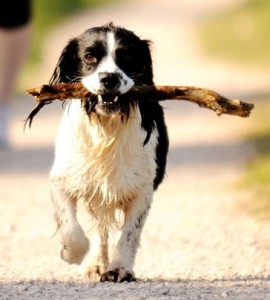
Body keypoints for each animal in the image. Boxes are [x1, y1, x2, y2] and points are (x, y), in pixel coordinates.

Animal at [49, 22, 169, 282]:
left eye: (128, 57)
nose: (109, 78)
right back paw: (95, 263)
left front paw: (120, 268)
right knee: (98, 228)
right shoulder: (63, 179)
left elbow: (130, 233)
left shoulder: (142, 189)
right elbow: (71, 227)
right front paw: (72, 254)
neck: (107, 126)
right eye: (89, 56)